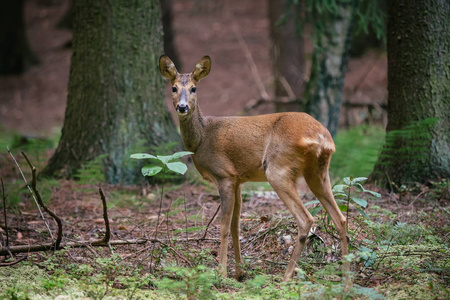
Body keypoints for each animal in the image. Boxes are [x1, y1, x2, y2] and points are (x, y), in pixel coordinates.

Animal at [159, 55, 352, 282]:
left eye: (193, 88)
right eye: (173, 88)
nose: (182, 107)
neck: (201, 139)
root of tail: (322, 136)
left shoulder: (224, 175)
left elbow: (223, 226)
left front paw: (221, 272)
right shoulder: (238, 179)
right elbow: (235, 225)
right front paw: (239, 272)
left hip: (278, 169)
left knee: (306, 219)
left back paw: (286, 277)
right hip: (318, 171)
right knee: (341, 218)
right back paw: (347, 280)